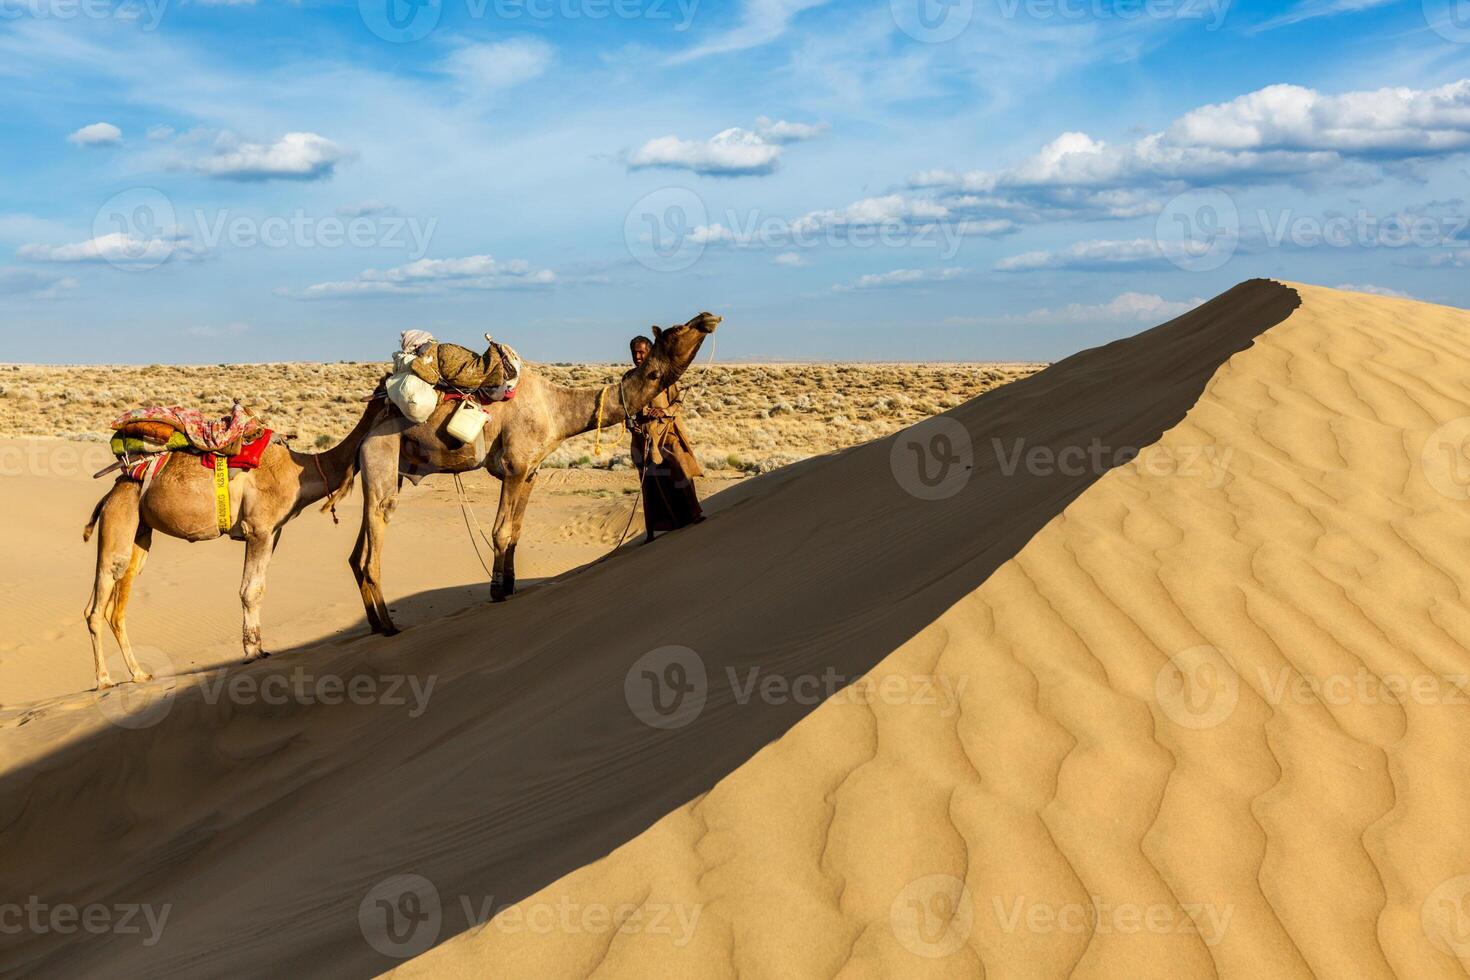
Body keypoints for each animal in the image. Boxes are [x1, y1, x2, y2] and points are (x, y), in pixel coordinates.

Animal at [355, 314, 723, 637]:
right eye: (677, 329)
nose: (709, 317)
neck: (556, 410)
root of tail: (370, 424)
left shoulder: (531, 471)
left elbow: (516, 531)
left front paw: (511, 583)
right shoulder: (515, 466)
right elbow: (501, 531)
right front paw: (496, 590)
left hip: (387, 468)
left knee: (359, 550)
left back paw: (374, 623)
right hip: (381, 455)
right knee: (377, 535)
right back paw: (389, 626)